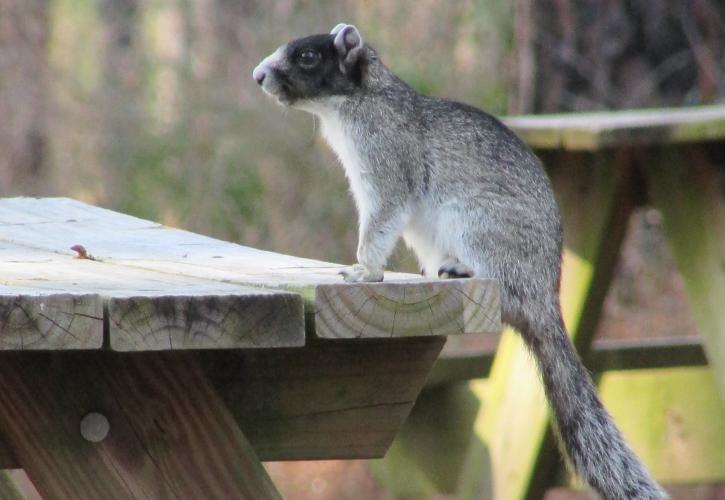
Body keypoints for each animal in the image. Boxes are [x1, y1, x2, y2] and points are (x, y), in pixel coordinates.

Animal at [255, 21, 668, 498]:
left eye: (307, 57)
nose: (258, 76)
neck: (357, 101)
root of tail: (542, 296)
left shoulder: (387, 156)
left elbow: (383, 215)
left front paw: (365, 269)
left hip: (479, 226)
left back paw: (461, 268)